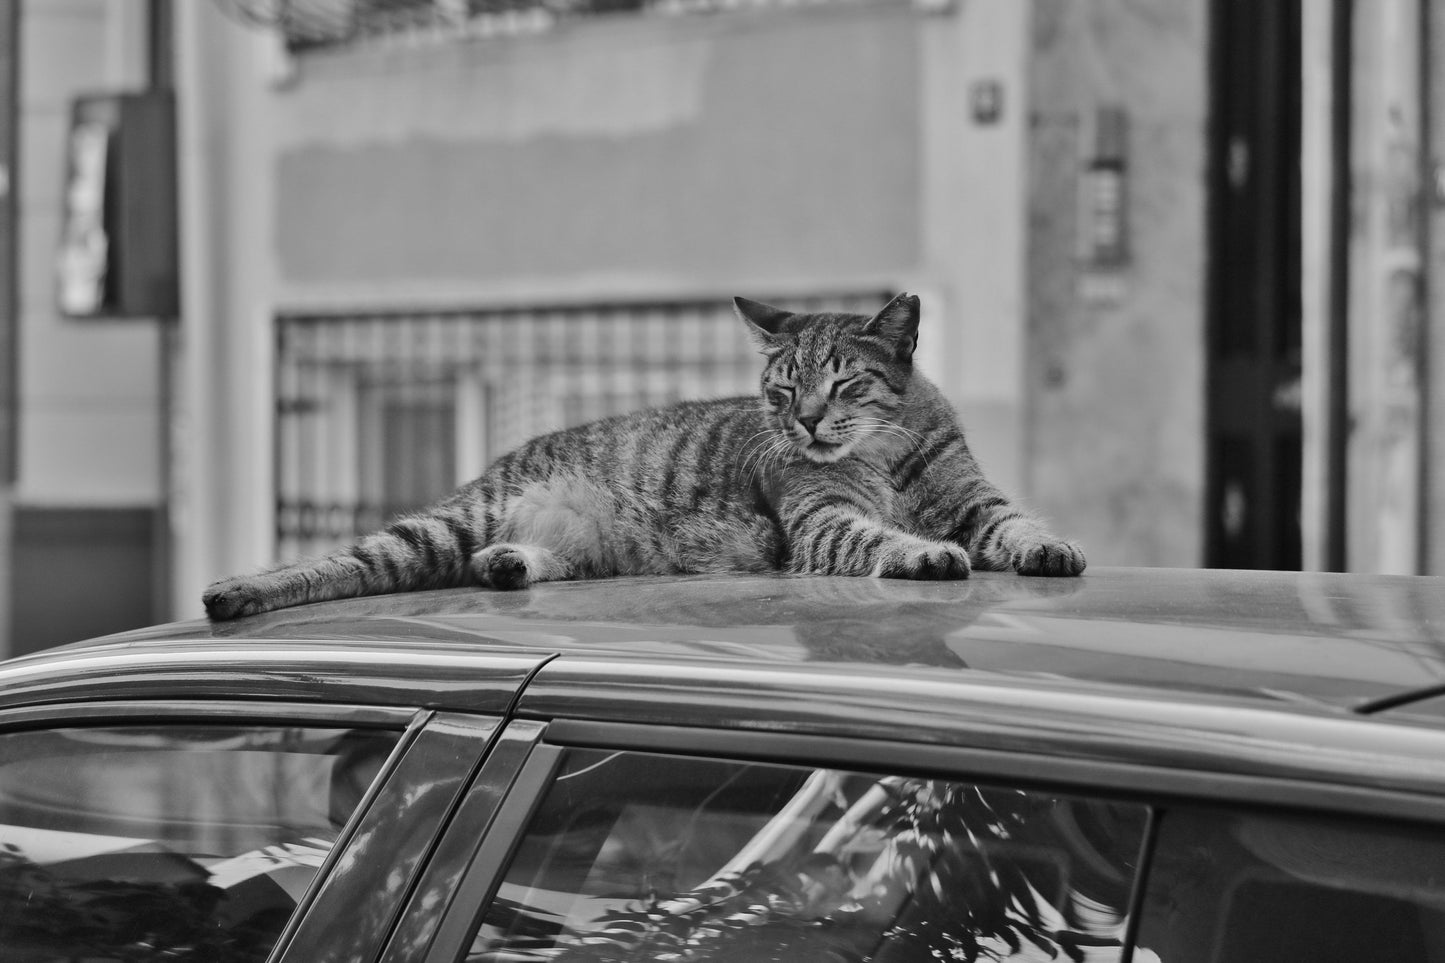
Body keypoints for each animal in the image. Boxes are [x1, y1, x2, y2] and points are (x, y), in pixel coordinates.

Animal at [203, 292, 1086, 618]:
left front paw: (1048, 545)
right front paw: (922, 553)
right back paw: (236, 591)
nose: (803, 424)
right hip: (441, 524)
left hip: (573, 544)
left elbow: (1015, 524)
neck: (889, 449)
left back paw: (507, 564)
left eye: (841, 383)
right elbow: (878, 537)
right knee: (342, 561)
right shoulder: (821, 520)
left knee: (512, 559)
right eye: (779, 390)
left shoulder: (975, 500)